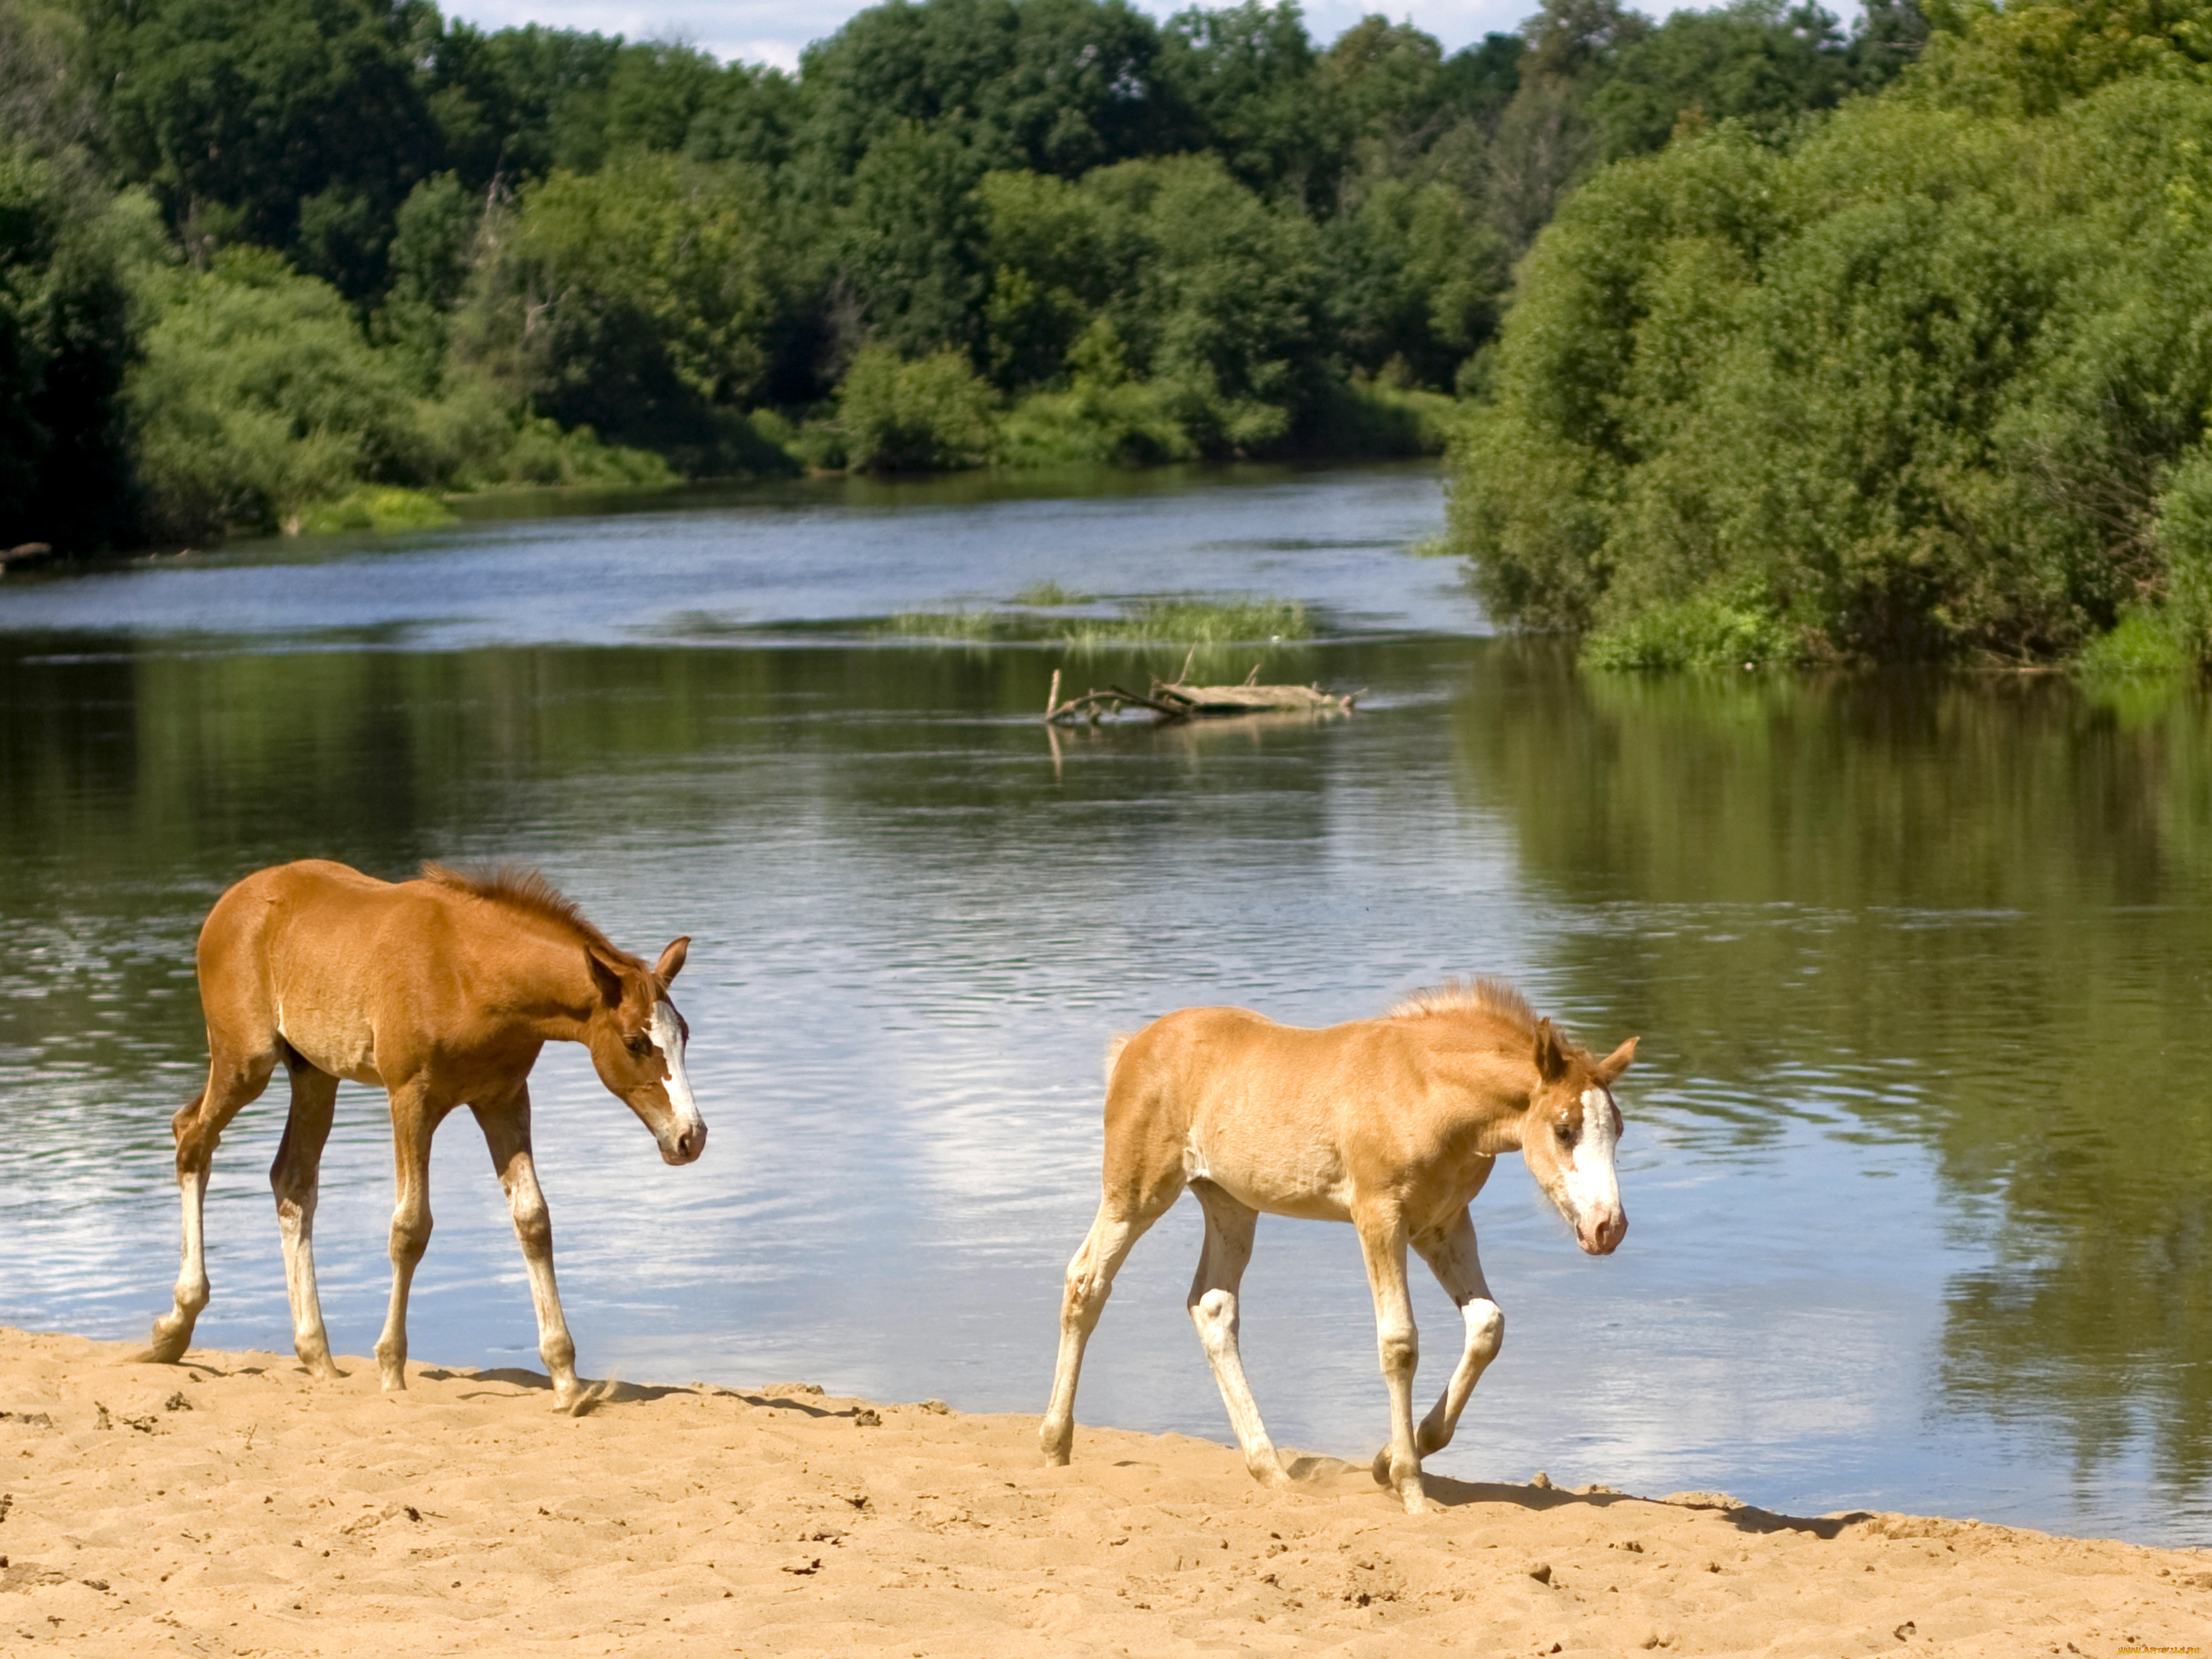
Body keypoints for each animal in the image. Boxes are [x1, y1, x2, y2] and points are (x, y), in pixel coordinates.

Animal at [134, 862, 703, 1407]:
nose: (690, 1136)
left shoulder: (504, 1100)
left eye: (684, 1033)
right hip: (244, 1061)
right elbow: (410, 1228)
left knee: (291, 1180)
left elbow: (533, 1220)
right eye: (633, 1042)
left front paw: (566, 1380)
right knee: (191, 1137)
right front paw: (390, 1368)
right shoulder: (410, 1098)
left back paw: (318, 1357)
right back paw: (174, 1328)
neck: (471, 974)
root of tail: (229, 902)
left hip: (314, 1073)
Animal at [1031, 987, 1628, 1522]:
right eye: (1564, 1129)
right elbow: (1399, 1342)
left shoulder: (1443, 1223)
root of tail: (1134, 1044)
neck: (1424, 1090)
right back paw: (1055, 1443)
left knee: (1212, 1305)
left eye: (1618, 1130)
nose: (1608, 1227)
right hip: (1136, 1193)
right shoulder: (1379, 1216)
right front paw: (1409, 1486)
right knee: (1086, 1281)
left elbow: (1486, 1325)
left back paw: (1270, 1468)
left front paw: (1391, 1458)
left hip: (1230, 1205)